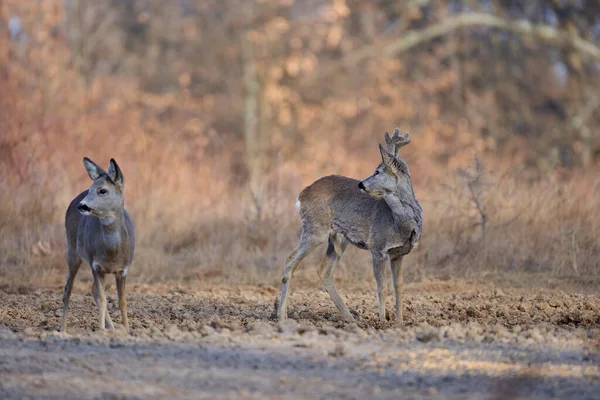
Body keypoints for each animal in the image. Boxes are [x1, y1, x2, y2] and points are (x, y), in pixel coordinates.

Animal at [60, 158, 135, 332]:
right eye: (90, 189)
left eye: (102, 191)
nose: (82, 205)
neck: (113, 252)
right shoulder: (95, 265)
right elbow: (103, 299)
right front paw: (101, 330)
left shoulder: (124, 269)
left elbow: (122, 301)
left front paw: (127, 330)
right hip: (72, 250)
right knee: (68, 289)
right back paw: (63, 329)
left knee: (92, 289)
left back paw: (112, 328)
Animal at [278, 130, 422, 326]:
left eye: (377, 171)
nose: (361, 184)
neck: (398, 223)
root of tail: (301, 194)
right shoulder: (378, 248)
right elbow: (382, 287)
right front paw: (382, 320)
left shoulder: (398, 254)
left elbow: (398, 286)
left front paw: (399, 322)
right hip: (315, 229)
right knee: (290, 260)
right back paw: (281, 317)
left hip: (337, 239)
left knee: (322, 271)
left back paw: (349, 318)